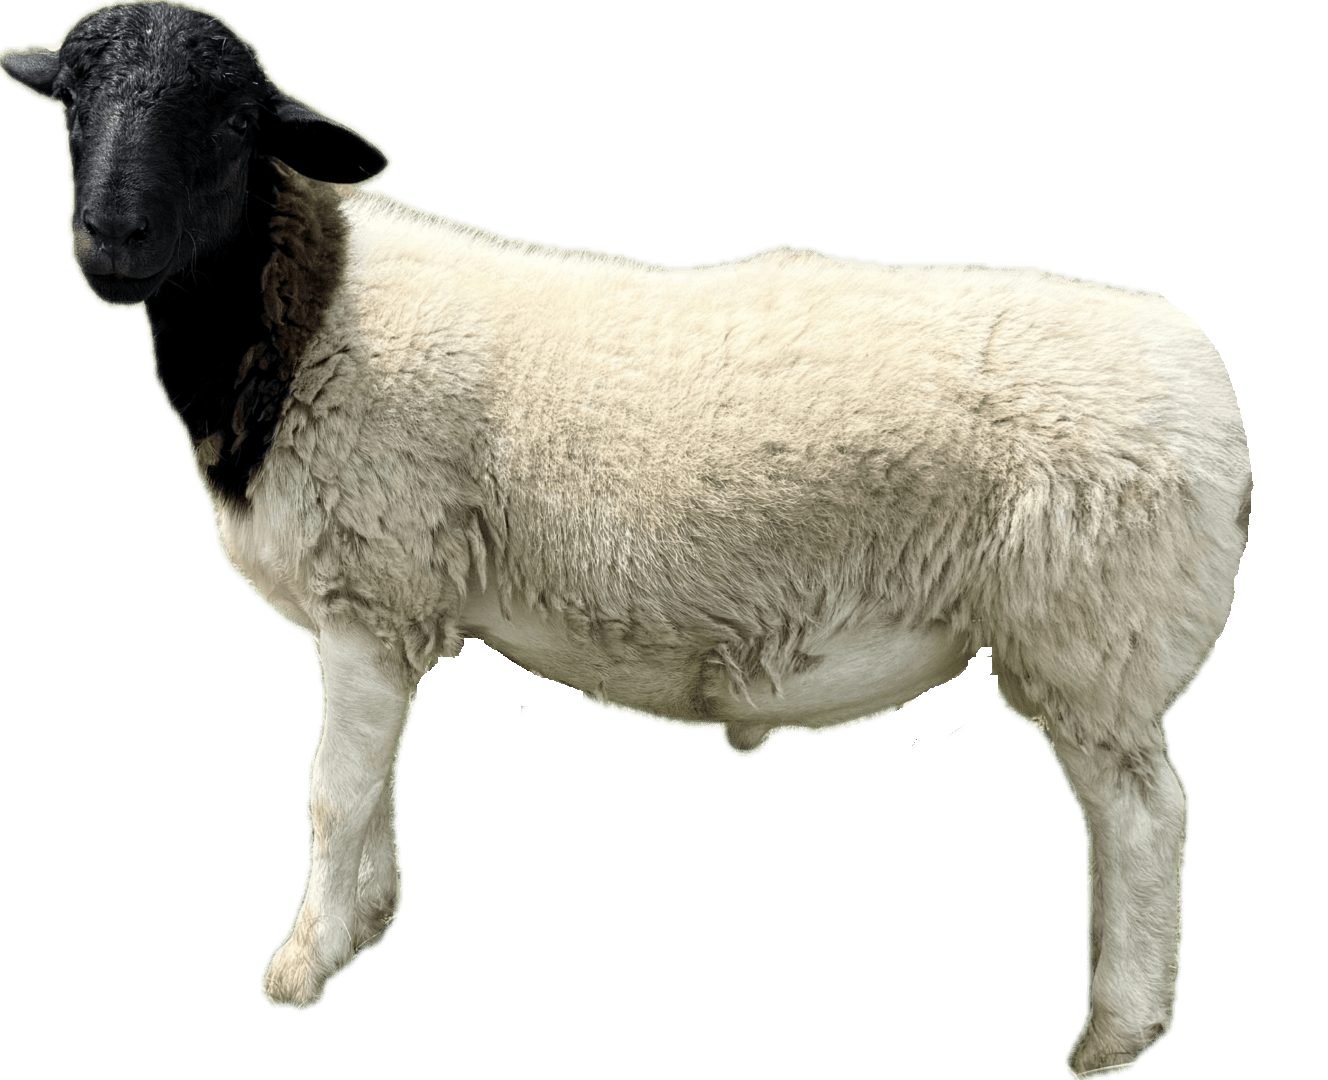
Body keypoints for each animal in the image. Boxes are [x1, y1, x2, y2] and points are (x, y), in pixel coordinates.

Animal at [2, 3, 1251, 1075]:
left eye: (228, 122)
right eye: (71, 103)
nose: (109, 240)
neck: (305, 317)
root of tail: (1201, 375)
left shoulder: (370, 580)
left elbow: (333, 792)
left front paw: (305, 967)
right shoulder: (397, 604)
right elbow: (376, 781)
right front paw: (369, 920)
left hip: (1095, 629)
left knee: (1141, 818)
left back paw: (1115, 1032)